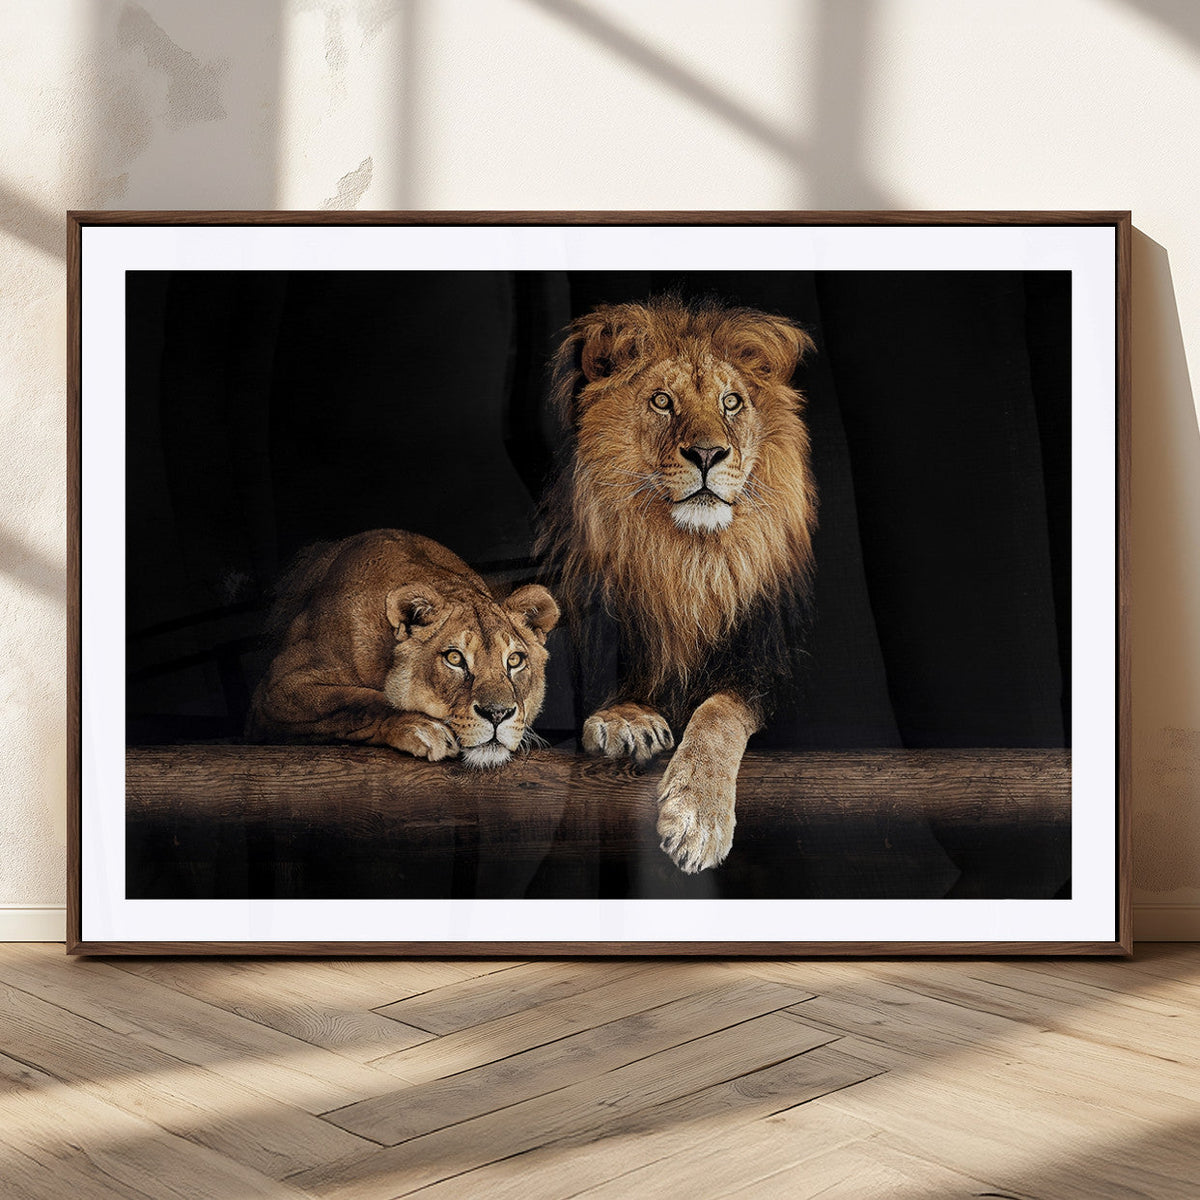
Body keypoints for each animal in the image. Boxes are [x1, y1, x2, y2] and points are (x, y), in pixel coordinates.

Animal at [245, 530, 559, 769]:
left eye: (515, 660)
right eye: (454, 658)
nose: (497, 714)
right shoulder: (275, 690)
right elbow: (357, 701)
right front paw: (424, 728)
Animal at [536, 295, 817, 872]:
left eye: (732, 402)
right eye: (662, 401)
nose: (708, 454)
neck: (688, 563)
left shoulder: (766, 667)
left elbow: (720, 712)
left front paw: (698, 815)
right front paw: (628, 720)